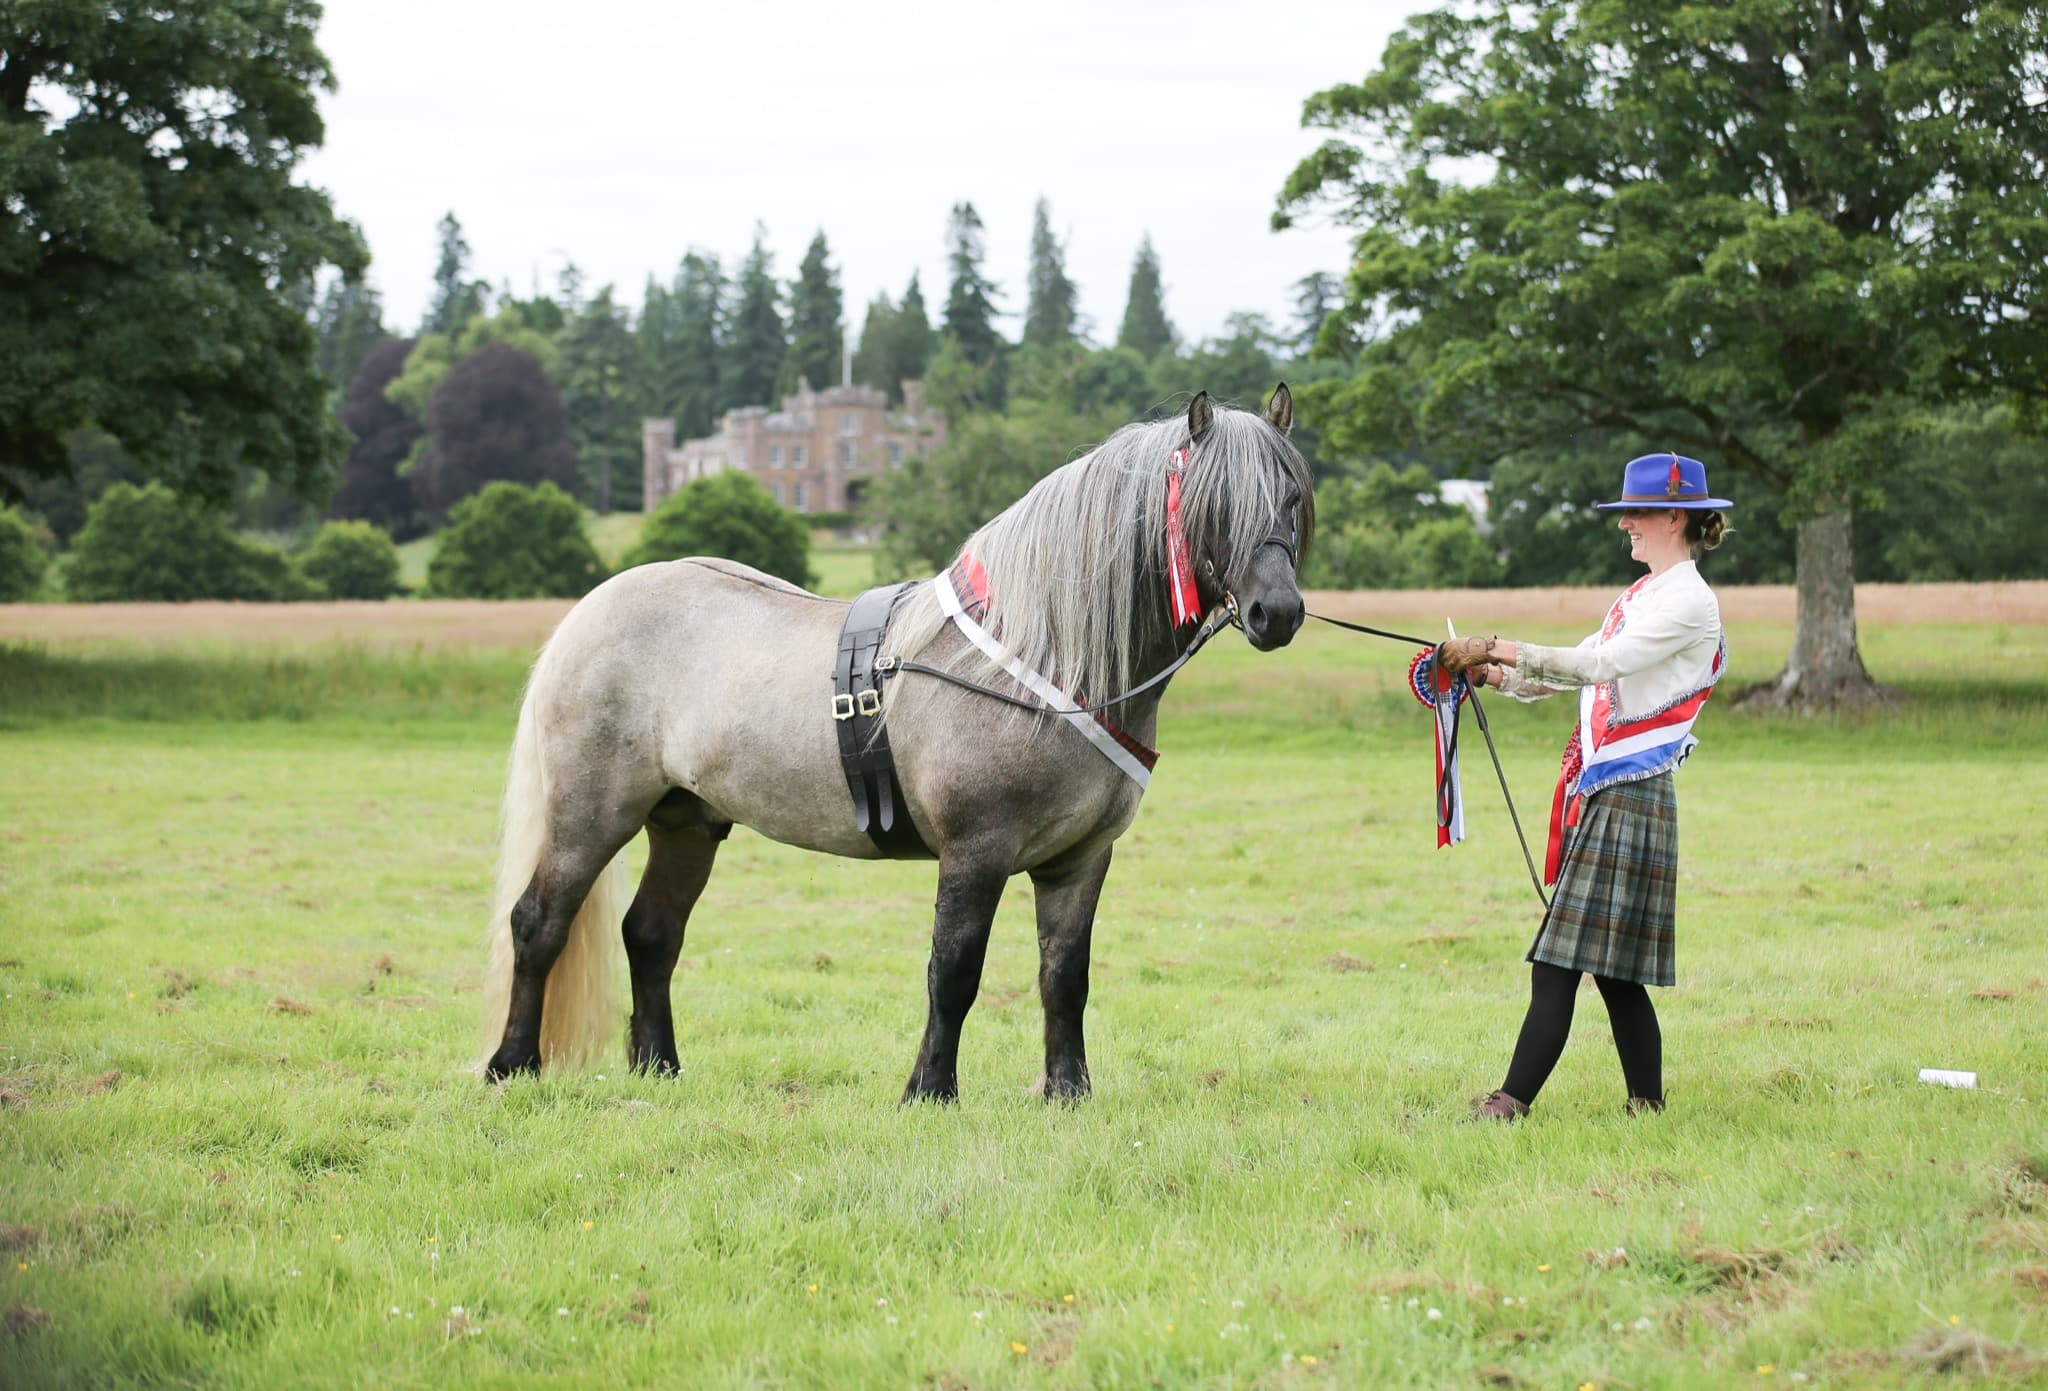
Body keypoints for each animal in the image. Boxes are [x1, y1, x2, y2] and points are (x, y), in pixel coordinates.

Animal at [478, 385, 1314, 1102]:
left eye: (1293, 498)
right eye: (1215, 504)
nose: (1277, 612)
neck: (1041, 655)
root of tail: (590, 610)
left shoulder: (1079, 859)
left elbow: (1064, 975)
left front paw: (1068, 1090)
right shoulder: (976, 850)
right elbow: (955, 971)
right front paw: (930, 1089)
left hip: (687, 823)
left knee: (650, 935)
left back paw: (660, 1067)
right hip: (591, 816)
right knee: (538, 922)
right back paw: (510, 1065)